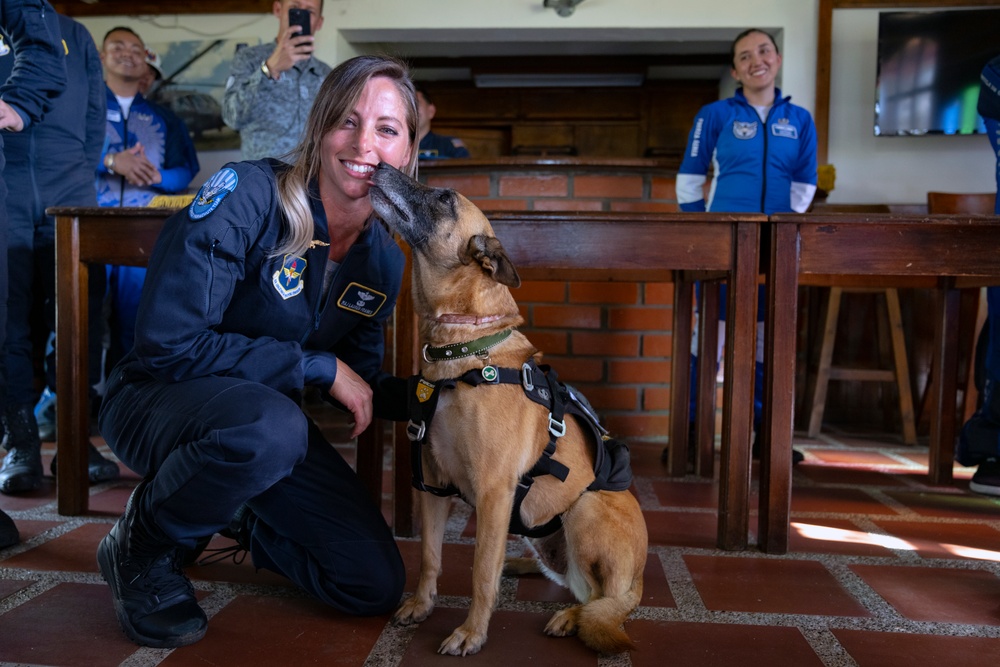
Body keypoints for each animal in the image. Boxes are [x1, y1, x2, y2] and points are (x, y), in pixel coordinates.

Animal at [370, 163, 648, 656]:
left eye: (444, 197)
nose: (381, 165)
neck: (461, 351)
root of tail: (640, 580)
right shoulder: (433, 488)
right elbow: (430, 557)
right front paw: (421, 605)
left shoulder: (494, 492)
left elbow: (481, 572)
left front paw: (471, 633)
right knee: (567, 579)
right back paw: (521, 566)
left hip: (584, 510)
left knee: (601, 601)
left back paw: (572, 616)